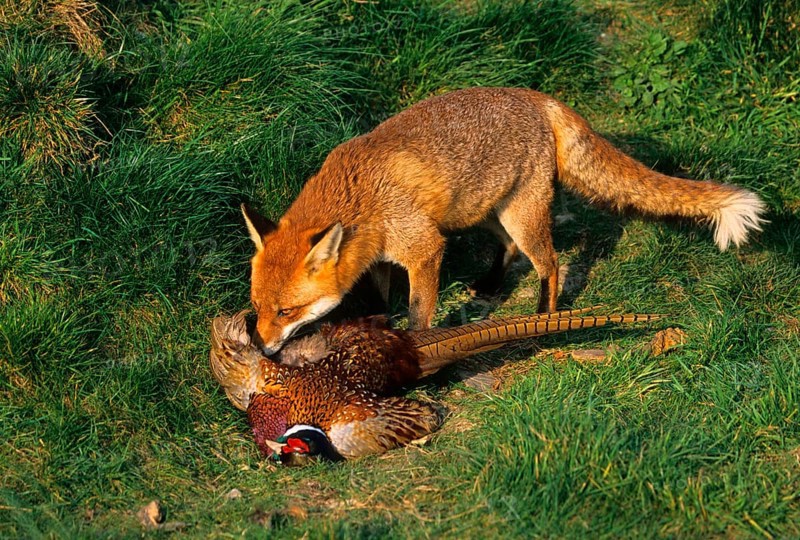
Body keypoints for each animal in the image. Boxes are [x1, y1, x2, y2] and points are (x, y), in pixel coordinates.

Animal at [242, 87, 766, 354]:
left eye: (286, 312)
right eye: (258, 308)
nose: (262, 348)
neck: (363, 197)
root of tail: (536, 95)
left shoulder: (425, 248)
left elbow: (418, 311)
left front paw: (416, 347)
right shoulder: (383, 258)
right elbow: (383, 301)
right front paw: (378, 328)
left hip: (521, 216)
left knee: (549, 263)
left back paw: (544, 317)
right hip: (487, 213)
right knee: (510, 251)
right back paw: (492, 285)